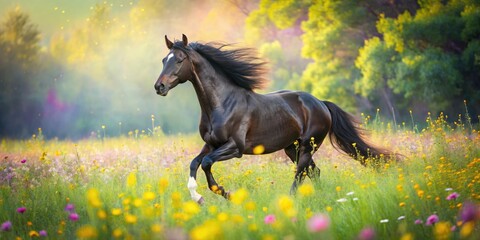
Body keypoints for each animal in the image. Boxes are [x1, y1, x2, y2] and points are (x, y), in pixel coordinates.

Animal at [155, 33, 394, 203]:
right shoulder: (211, 144)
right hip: (292, 148)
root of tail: (321, 104)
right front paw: (199, 198)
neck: (221, 104)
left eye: (179, 60)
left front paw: (226, 193)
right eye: (163, 59)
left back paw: (290, 201)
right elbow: (194, 163)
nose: (160, 87)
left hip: (307, 146)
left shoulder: (235, 147)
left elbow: (205, 164)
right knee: (314, 171)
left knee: (301, 174)